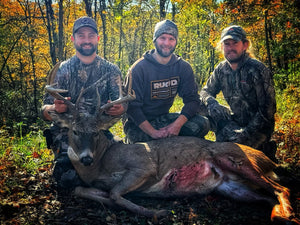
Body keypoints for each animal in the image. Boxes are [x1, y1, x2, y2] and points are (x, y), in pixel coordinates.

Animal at [45, 85, 300, 224]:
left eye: (97, 132)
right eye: (74, 131)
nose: (86, 157)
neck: (100, 164)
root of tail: (268, 161)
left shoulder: (144, 165)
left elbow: (116, 194)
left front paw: (159, 212)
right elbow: (81, 190)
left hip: (237, 161)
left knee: (282, 188)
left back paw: (287, 217)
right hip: (231, 187)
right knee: (268, 196)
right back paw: (279, 213)